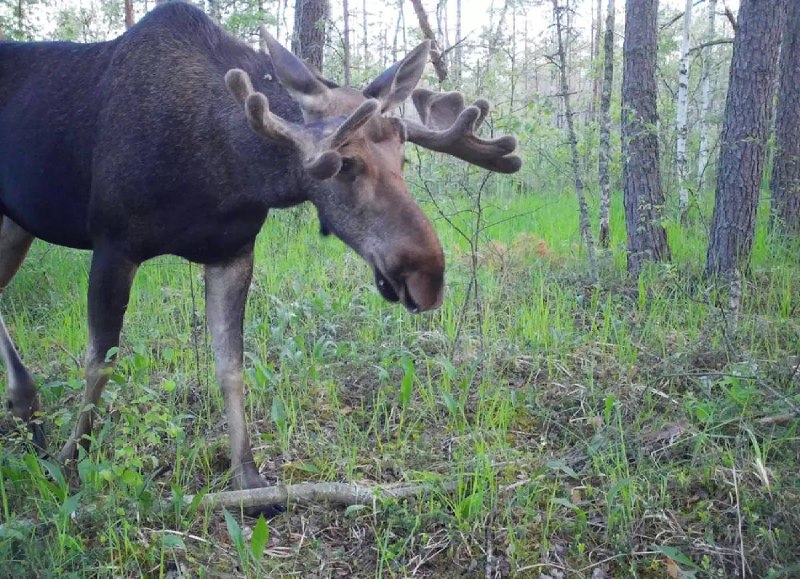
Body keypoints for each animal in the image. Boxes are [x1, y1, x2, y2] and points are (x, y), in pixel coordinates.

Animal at [0, 0, 520, 500]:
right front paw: (70, 460)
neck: (224, 171)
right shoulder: (113, 244)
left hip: (15, 225)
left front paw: (248, 478)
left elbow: (231, 366)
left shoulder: (232, 252)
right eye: (343, 165)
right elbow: (99, 363)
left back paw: (26, 404)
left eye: (403, 158)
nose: (427, 274)